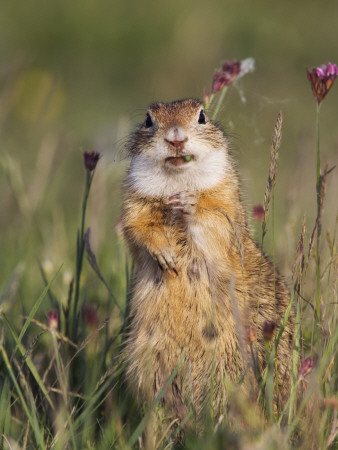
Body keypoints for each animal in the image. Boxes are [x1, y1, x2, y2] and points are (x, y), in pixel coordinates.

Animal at [121, 97, 294, 428]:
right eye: (149, 120)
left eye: (202, 116)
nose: (176, 138)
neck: (176, 184)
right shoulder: (134, 206)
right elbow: (136, 229)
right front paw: (165, 256)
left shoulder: (225, 202)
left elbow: (215, 221)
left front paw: (190, 204)